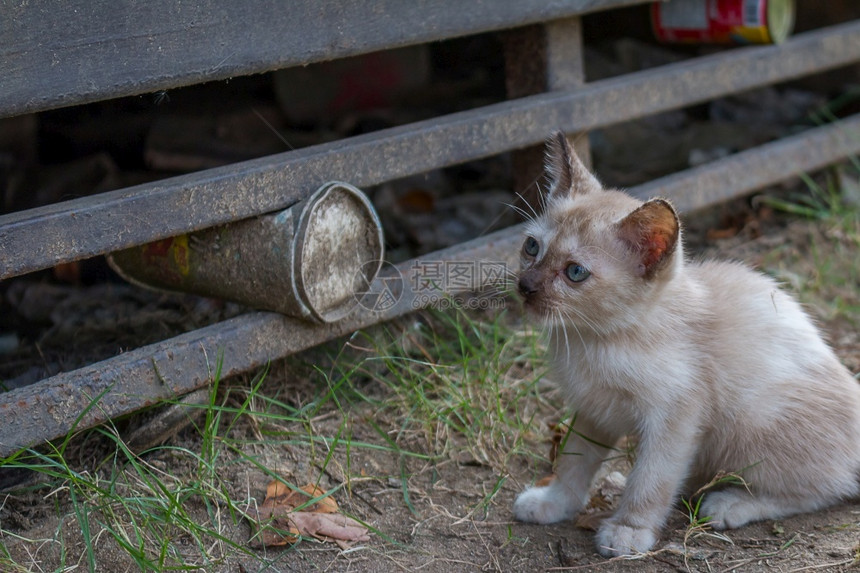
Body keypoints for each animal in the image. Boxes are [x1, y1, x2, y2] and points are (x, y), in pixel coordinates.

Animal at [510, 133, 860, 556]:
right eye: (532, 247)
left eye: (575, 272)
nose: (526, 287)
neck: (593, 338)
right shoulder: (595, 409)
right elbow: (574, 460)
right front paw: (553, 502)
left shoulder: (675, 417)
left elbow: (650, 479)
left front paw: (629, 529)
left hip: (751, 423)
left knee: (827, 488)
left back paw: (730, 503)